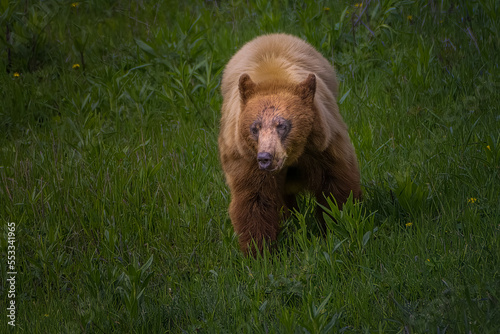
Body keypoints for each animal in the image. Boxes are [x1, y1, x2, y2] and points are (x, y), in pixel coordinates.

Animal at [217, 33, 362, 256]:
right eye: (255, 127)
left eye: (282, 125)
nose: (265, 158)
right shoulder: (246, 157)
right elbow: (254, 199)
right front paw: (260, 251)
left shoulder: (323, 146)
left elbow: (335, 184)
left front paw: (337, 225)